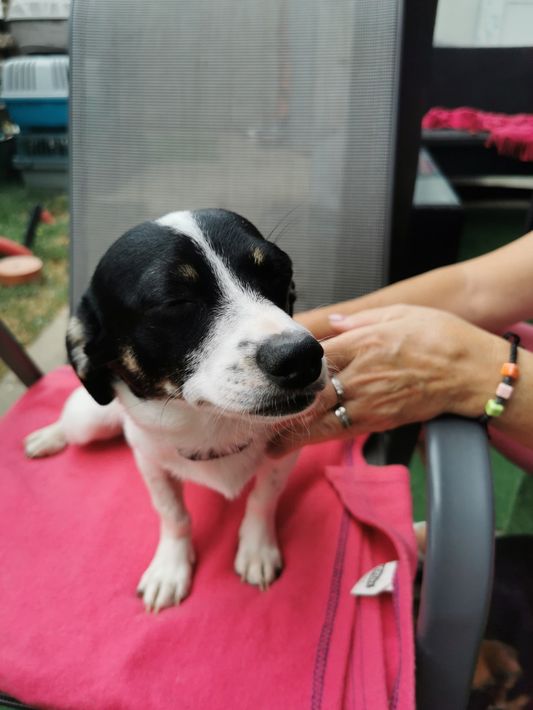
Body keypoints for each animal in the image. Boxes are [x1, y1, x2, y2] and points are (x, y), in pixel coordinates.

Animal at [24, 209, 327, 613]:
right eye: (174, 301)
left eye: (278, 272)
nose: (302, 357)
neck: (212, 424)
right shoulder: (151, 463)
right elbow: (173, 515)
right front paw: (170, 567)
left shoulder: (284, 453)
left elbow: (264, 498)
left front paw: (256, 548)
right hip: (88, 420)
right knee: (70, 426)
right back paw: (48, 436)